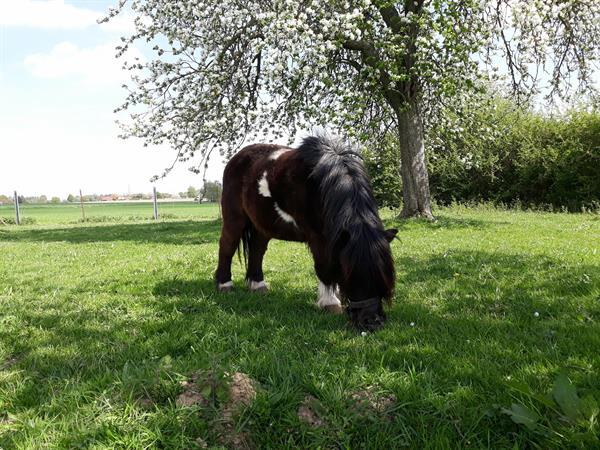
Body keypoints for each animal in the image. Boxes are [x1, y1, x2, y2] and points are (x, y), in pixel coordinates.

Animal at [216, 134, 398, 330]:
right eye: (353, 275)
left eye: (383, 277)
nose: (372, 323)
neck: (322, 182)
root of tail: (236, 158)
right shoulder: (319, 238)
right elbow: (324, 267)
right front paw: (330, 303)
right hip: (235, 219)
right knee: (227, 246)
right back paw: (224, 285)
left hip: (262, 225)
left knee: (257, 250)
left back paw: (258, 285)